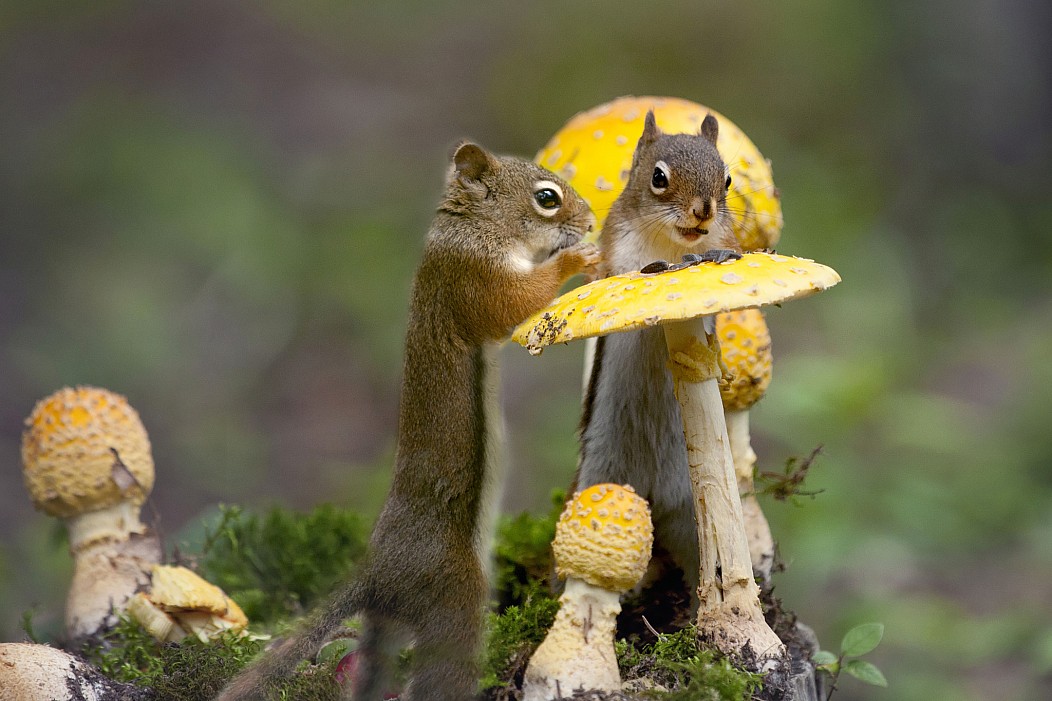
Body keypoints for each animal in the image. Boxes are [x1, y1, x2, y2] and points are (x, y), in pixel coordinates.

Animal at [218, 142, 601, 698]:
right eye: (547, 198)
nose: (591, 222)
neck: (467, 227)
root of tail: (379, 571)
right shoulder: (471, 275)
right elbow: (514, 304)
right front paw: (577, 258)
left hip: (388, 625)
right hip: (453, 597)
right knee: (444, 668)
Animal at [576, 110, 740, 602]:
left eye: (727, 180)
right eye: (658, 177)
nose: (703, 210)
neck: (673, 246)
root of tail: (650, 495)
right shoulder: (614, 249)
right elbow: (617, 275)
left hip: (689, 510)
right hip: (598, 473)